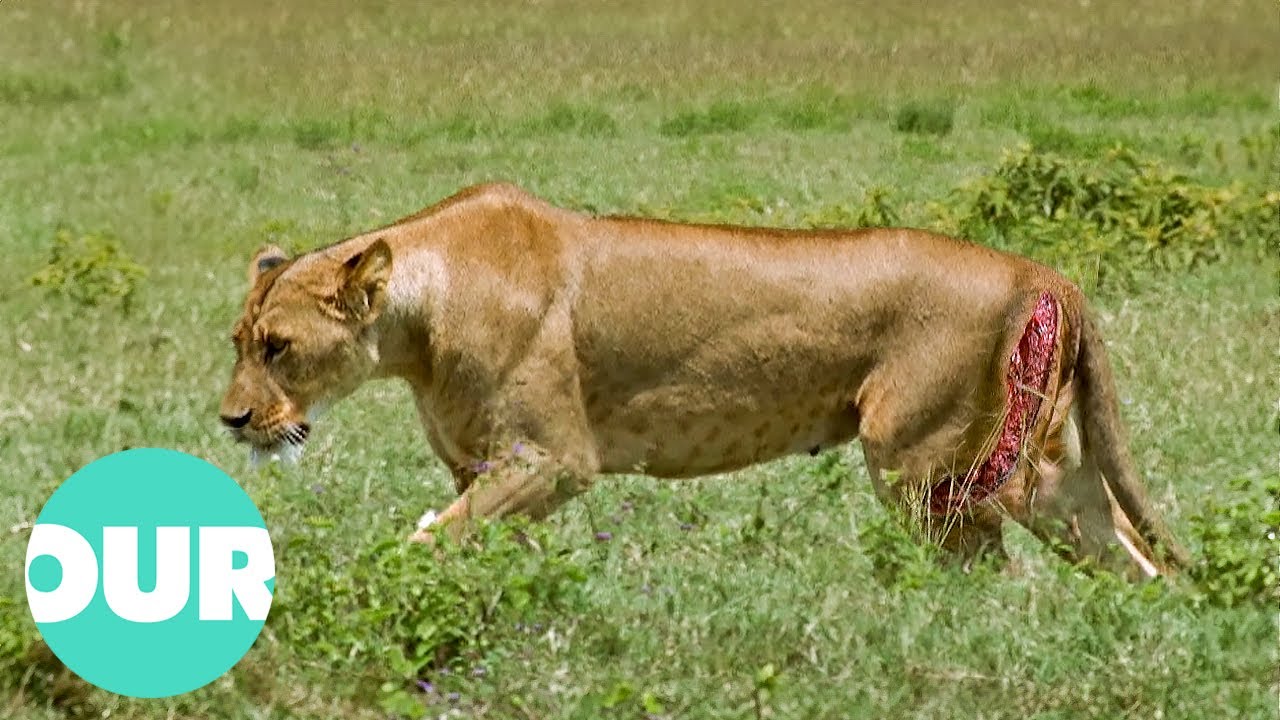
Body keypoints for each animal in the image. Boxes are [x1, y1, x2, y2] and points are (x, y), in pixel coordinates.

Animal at [220, 182, 1189, 578]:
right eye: (237, 340)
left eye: (277, 346)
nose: (230, 421)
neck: (417, 316)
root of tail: (1042, 270)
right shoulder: (484, 467)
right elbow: (481, 541)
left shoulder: (554, 459)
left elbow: (426, 540)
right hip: (1031, 465)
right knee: (1114, 539)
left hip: (916, 460)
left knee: (982, 565)